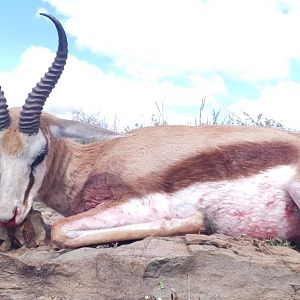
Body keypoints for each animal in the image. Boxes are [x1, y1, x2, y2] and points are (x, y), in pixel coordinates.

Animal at [0, 13, 300, 248]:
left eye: (41, 154)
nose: (8, 216)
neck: (94, 160)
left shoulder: (139, 202)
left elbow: (60, 230)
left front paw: (201, 220)